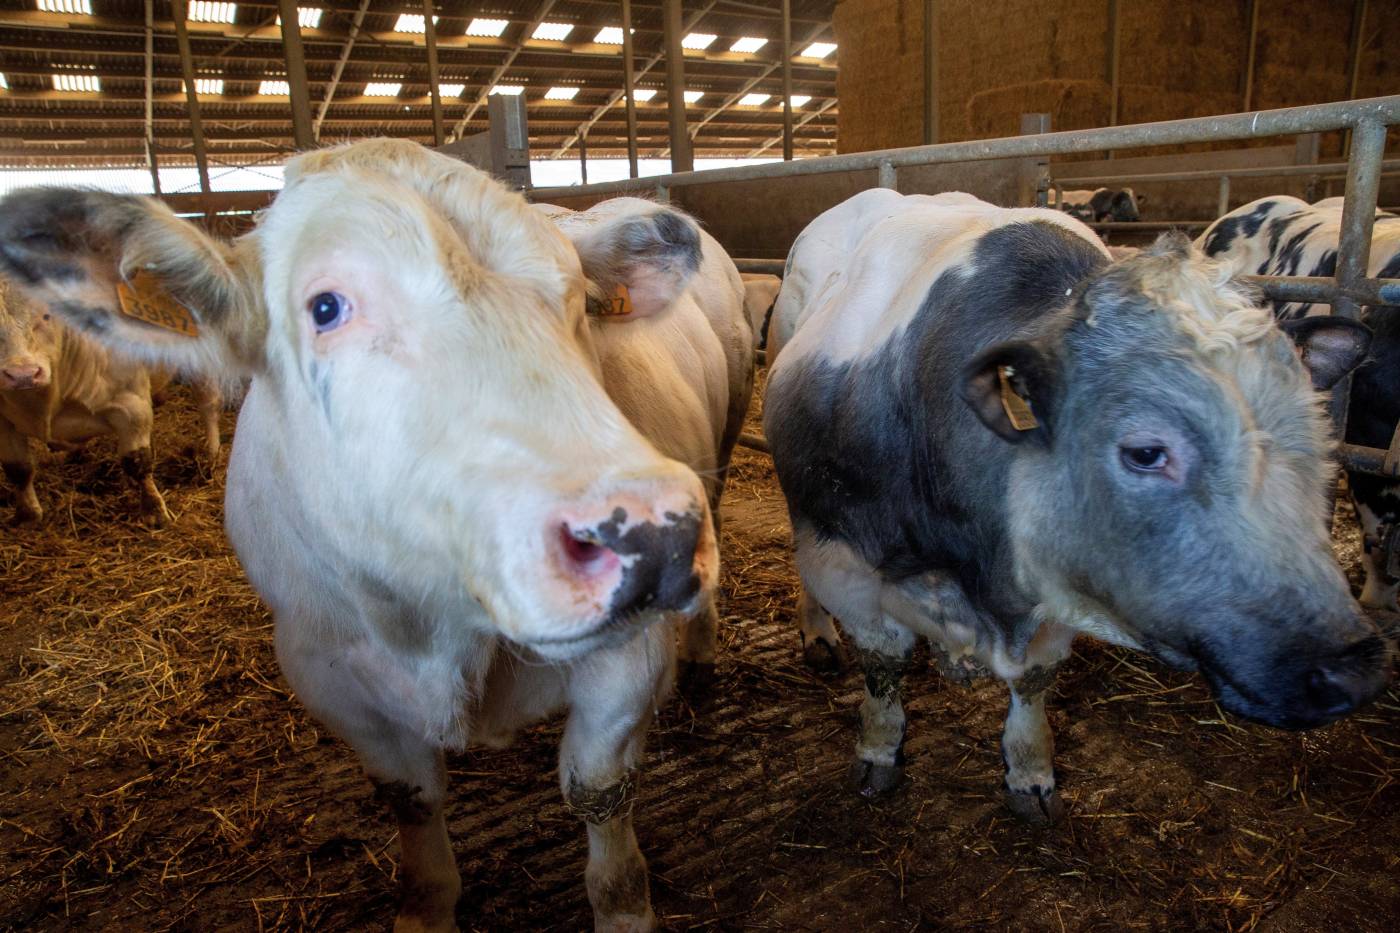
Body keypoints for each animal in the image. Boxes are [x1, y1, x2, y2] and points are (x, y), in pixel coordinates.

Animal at [0, 274, 220, 525]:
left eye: (47, 315)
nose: (22, 374)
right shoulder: (4, 422)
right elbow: (18, 469)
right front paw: (28, 515)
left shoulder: (132, 406)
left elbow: (137, 462)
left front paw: (154, 512)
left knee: (208, 403)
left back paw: (211, 454)